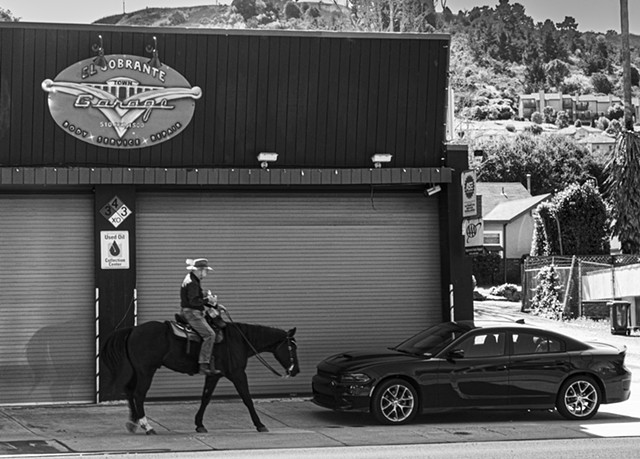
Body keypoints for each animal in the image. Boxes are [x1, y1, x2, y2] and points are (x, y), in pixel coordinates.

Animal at [100, 320, 300, 434]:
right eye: (292, 347)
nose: (296, 370)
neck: (239, 341)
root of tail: (132, 330)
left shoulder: (214, 375)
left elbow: (206, 398)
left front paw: (199, 424)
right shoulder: (237, 374)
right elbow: (247, 399)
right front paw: (260, 424)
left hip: (137, 370)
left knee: (129, 391)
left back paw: (133, 422)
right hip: (146, 370)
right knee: (138, 394)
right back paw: (147, 426)